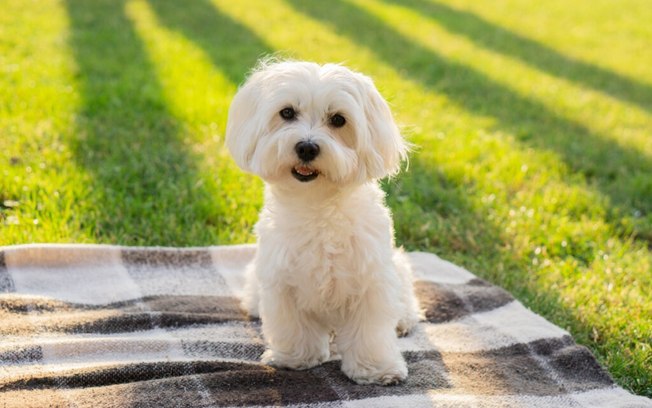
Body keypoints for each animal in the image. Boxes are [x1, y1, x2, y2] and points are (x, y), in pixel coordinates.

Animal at [224, 60, 420, 386]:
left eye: (338, 120)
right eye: (287, 112)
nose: (306, 147)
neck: (316, 206)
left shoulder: (371, 278)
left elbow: (371, 331)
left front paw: (376, 368)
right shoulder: (282, 279)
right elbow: (293, 325)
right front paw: (296, 357)